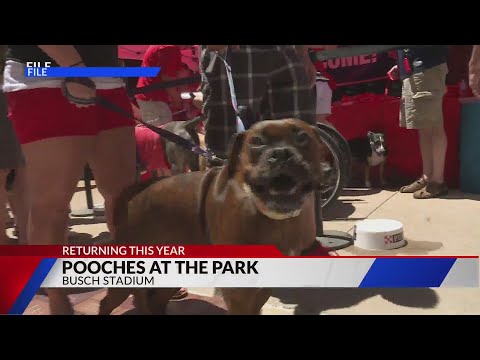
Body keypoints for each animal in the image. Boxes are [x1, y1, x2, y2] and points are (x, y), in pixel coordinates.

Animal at [98, 119, 334, 316]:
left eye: (302, 137)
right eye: (257, 142)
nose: (282, 153)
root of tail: (133, 196)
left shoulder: (263, 286)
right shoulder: (240, 291)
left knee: (155, 300)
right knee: (108, 302)